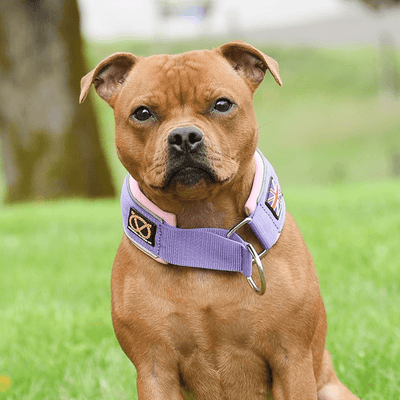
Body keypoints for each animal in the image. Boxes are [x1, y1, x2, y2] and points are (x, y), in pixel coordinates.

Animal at [79, 41, 360, 400]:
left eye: (222, 104)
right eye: (142, 113)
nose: (184, 136)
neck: (205, 238)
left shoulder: (291, 359)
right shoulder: (155, 368)